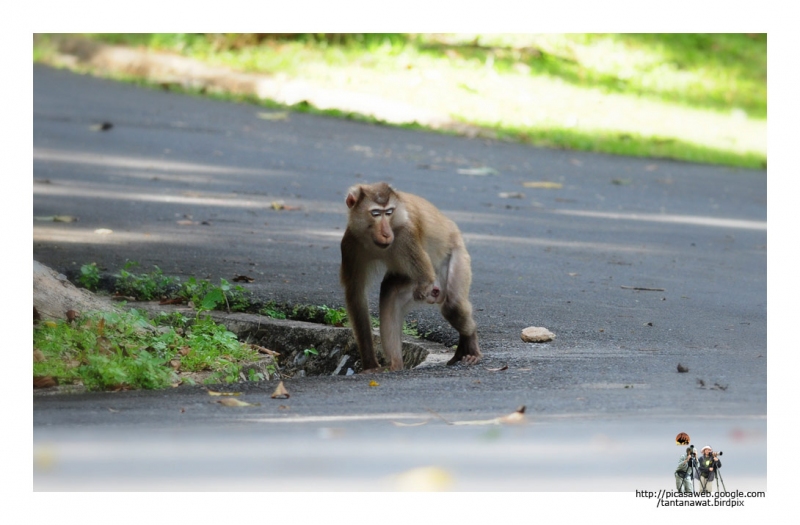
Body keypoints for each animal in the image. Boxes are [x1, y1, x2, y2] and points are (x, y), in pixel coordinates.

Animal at [340, 182, 482, 370]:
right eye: (376, 213)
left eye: (389, 212)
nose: (386, 233)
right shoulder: (350, 243)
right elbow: (355, 294)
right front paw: (370, 365)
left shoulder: (406, 236)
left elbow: (426, 276)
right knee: (390, 291)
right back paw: (396, 364)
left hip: (458, 255)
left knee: (453, 306)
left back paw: (470, 343)